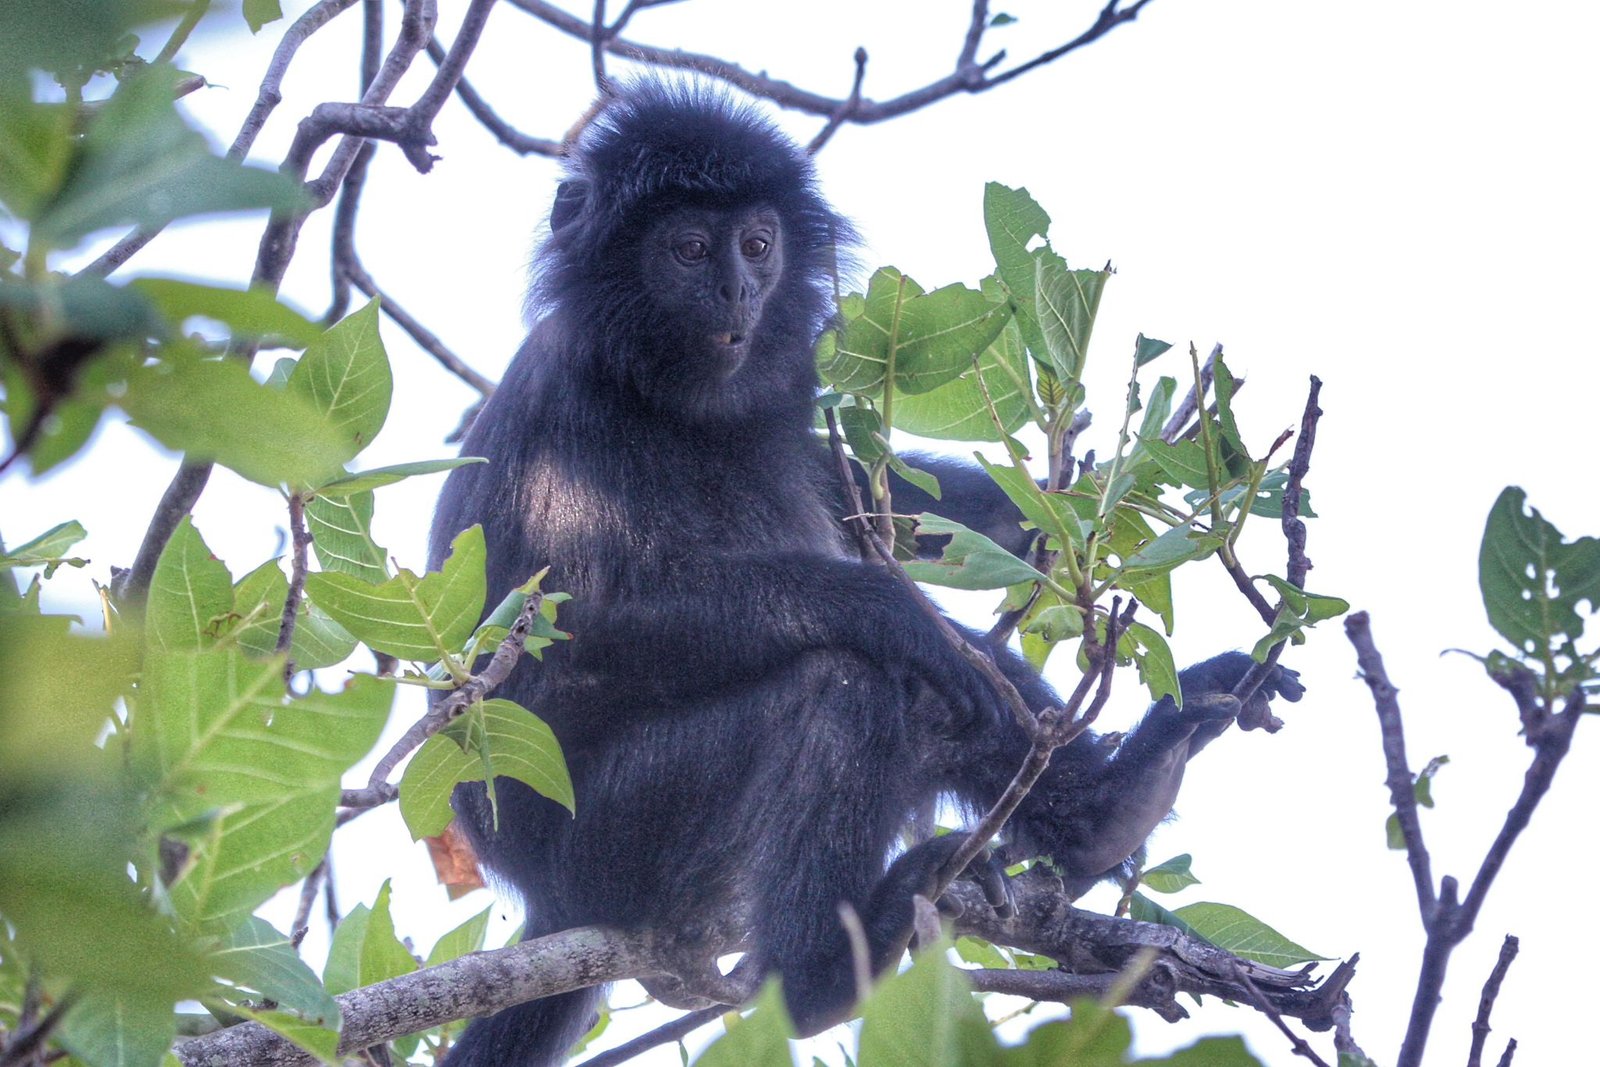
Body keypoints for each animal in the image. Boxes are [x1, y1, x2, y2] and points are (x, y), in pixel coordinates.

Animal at [429, 83, 1303, 1065]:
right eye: (688, 249)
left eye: (756, 245)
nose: (737, 289)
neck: (668, 398)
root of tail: (545, 896)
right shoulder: (570, 411)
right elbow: (576, 631)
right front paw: (888, 606)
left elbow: (908, 512)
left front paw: (1113, 491)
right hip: (614, 838)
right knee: (849, 680)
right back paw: (818, 976)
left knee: (951, 690)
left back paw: (1116, 800)